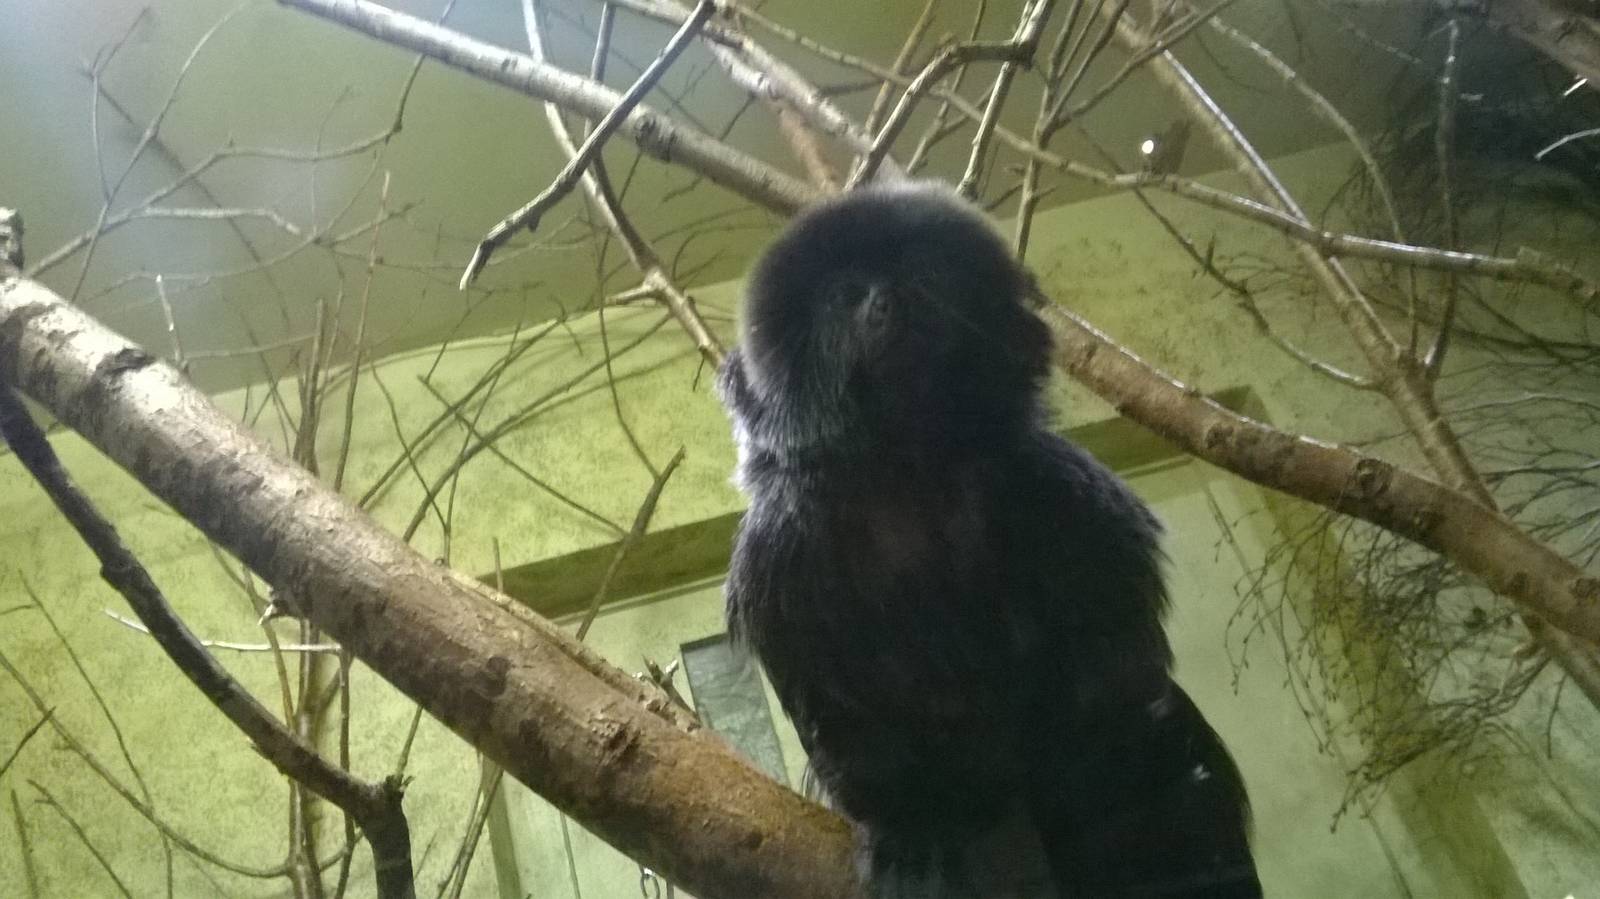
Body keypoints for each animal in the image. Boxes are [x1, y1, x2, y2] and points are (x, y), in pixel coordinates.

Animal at [717, 182, 1262, 898]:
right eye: (845, 294)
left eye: (921, 276)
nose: (889, 302)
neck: (908, 470)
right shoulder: (780, 548)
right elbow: (841, 717)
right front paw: (915, 834)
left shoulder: (1058, 486)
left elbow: (1117, 659)